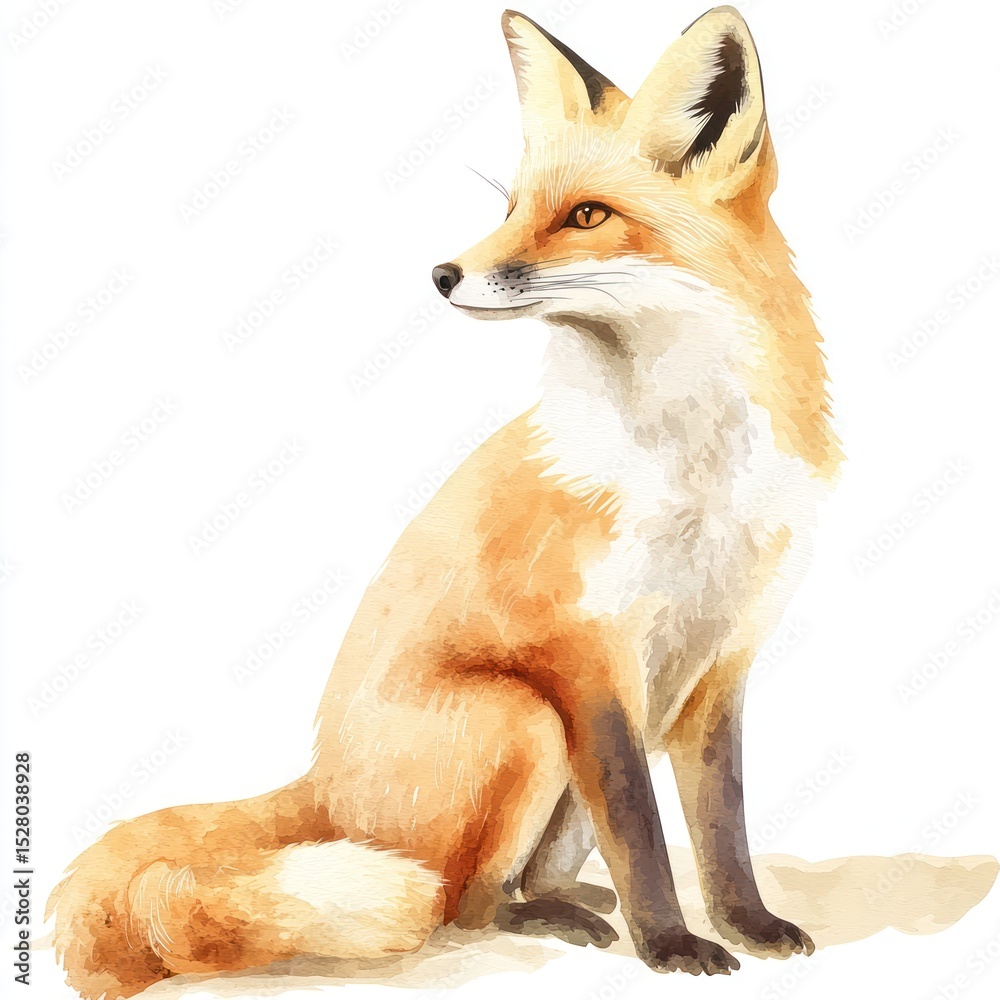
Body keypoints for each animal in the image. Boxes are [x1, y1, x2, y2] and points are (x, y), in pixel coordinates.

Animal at [49, 7, 842, 998]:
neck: (695, 476)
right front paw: (670, 946)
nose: (442, 273)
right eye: (509, 211)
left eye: (587, 215)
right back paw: (553, 919)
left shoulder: (722, 664)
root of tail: (324, 782)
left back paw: (573, 904)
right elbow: (644, 835)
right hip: (527, 720)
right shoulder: (590, 664)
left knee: (517, 881)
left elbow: (720, 831)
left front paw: (749, 927)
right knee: (460, 904)